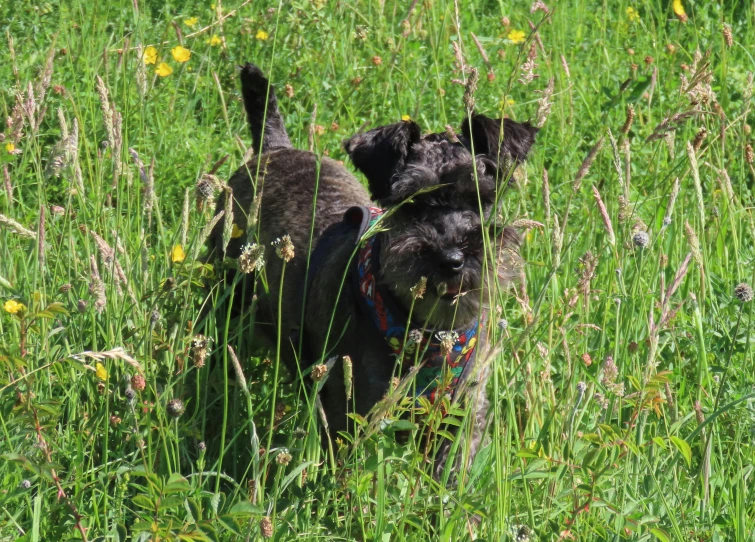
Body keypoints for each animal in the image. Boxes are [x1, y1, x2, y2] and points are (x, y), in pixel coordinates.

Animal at [208, 63, 536, 478]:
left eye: (482, 198)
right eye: (410, 201)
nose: (452, 259)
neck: (425, 333)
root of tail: (274, 147)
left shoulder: (461, 414)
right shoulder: (349, 416)